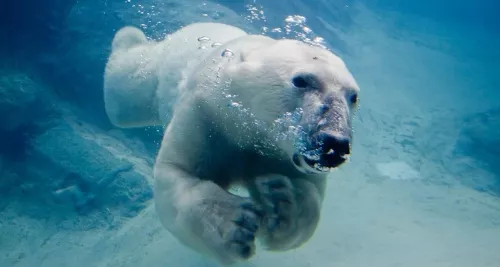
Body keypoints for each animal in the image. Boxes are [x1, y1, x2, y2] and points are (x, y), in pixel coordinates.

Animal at [103, 22, 360, 266]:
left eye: (354, 96)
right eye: (301, 81)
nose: (334, 144)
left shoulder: (283, 155)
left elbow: (308, 195)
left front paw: (282, 200)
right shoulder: (206, 114)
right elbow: (178, 172)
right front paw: (235, 224)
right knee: (127, 91)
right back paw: (128, 36)